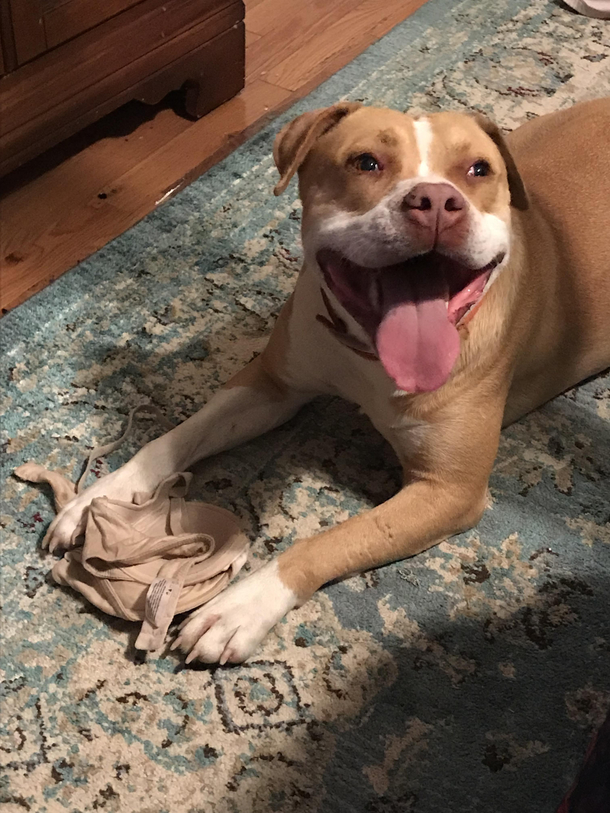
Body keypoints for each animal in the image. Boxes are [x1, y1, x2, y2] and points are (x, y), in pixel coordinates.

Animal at [44, 98, 608, 664]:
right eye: (366, 162)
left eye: (477, 170)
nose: (436, 201)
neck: (367, 351)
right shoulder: (271, 385)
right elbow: (175, 437)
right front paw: (101, 498)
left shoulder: (449, 489)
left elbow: (334, 539)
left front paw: (239, 607)